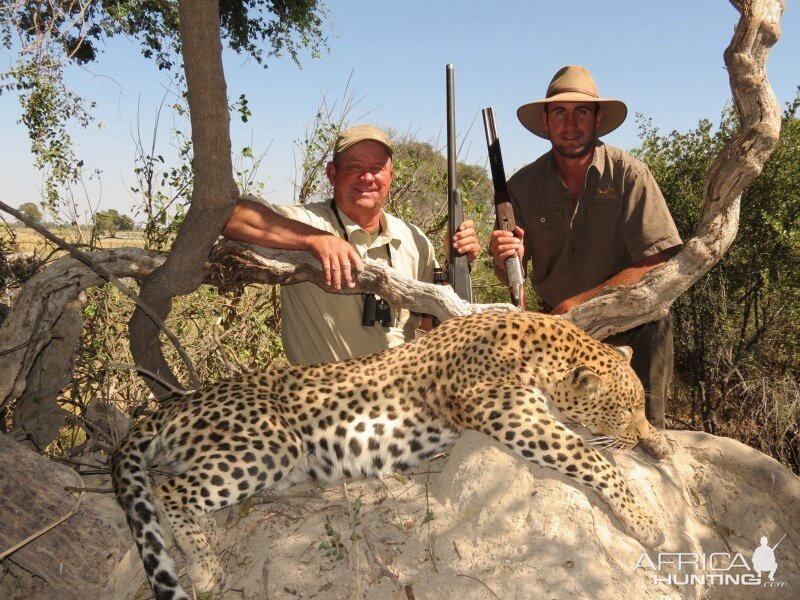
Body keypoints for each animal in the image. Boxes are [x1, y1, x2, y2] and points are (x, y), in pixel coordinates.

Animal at [112, 310, 672, 600]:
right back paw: (205, 566)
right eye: (623, 409)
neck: (544, 348)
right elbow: (590, 456)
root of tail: (174, 401)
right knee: (169, 488)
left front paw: (660, 440)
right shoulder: (510, 414)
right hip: (268, 443)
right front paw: (646, 520)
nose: (634, 434)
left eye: (640, 407)